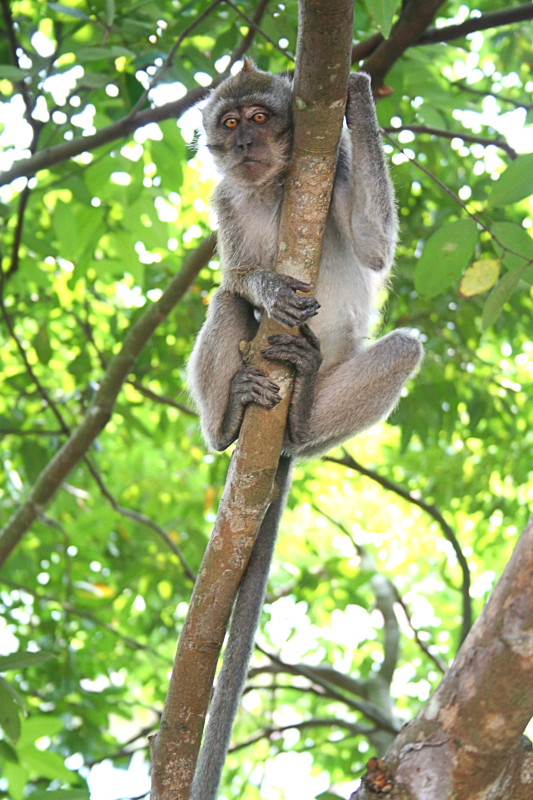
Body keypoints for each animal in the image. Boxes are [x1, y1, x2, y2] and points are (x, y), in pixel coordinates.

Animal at [186, 59, 420, 796]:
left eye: (260, 118)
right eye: (231, 123)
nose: (242, 144)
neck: (276, 186)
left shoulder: (337, 170)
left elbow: (372, 244)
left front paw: (359, 93)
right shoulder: (225, 198)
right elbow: (236, 276)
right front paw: (264, 287)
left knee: (403, 349)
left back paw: (305, 392)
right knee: (224, 302)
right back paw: (230, 420)